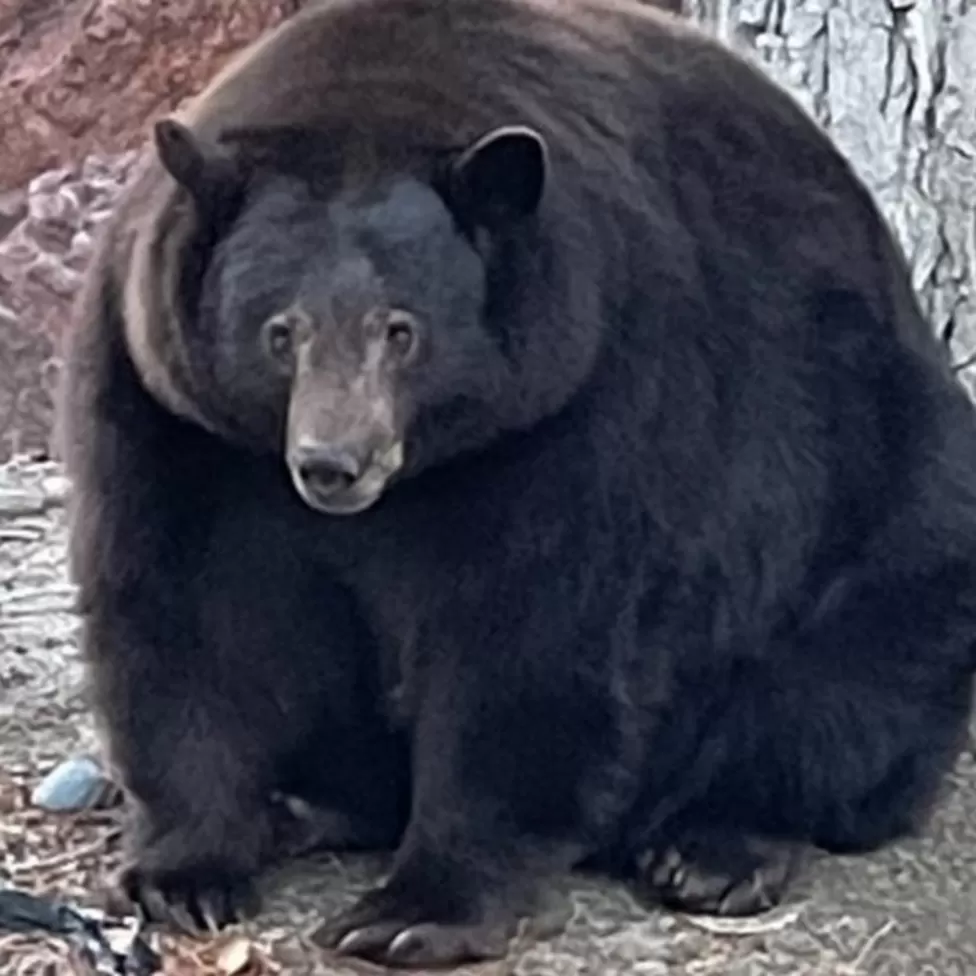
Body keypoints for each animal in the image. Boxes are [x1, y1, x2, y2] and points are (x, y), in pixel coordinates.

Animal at [59, 0, 976, 964]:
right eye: (281, 331)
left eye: (401, 330)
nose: (333, 463)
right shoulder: (173, 411)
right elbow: (188, 607)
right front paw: (186, 872)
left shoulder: (586, 392)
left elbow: (532, 632)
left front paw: (414, 911)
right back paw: (306, 805)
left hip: (882, 495)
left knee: (845, 681)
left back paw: (715, 847)